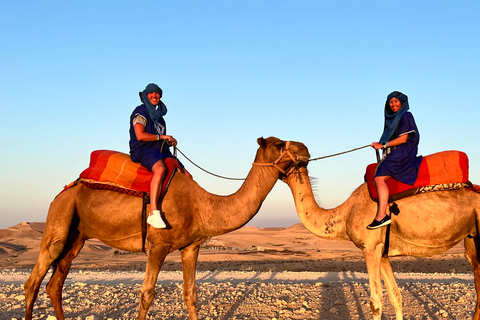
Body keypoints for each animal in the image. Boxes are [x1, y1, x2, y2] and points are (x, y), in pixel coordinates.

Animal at [24, 137, 312, 320]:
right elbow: (147, 294)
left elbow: (191, 294)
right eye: (278, 144)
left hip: (77, 236)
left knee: (55, 284)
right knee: (33, 282)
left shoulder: (191, 247)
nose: (305, 148)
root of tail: (66, 189)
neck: (201, 204)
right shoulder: (158, 245)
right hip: (59, 218)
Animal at [284, 165, 480, 320]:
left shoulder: (370, 248)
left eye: (278, 146)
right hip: (471, 238)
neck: (345, 213)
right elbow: (396, 296)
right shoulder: (383, 253)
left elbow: (376, 302)